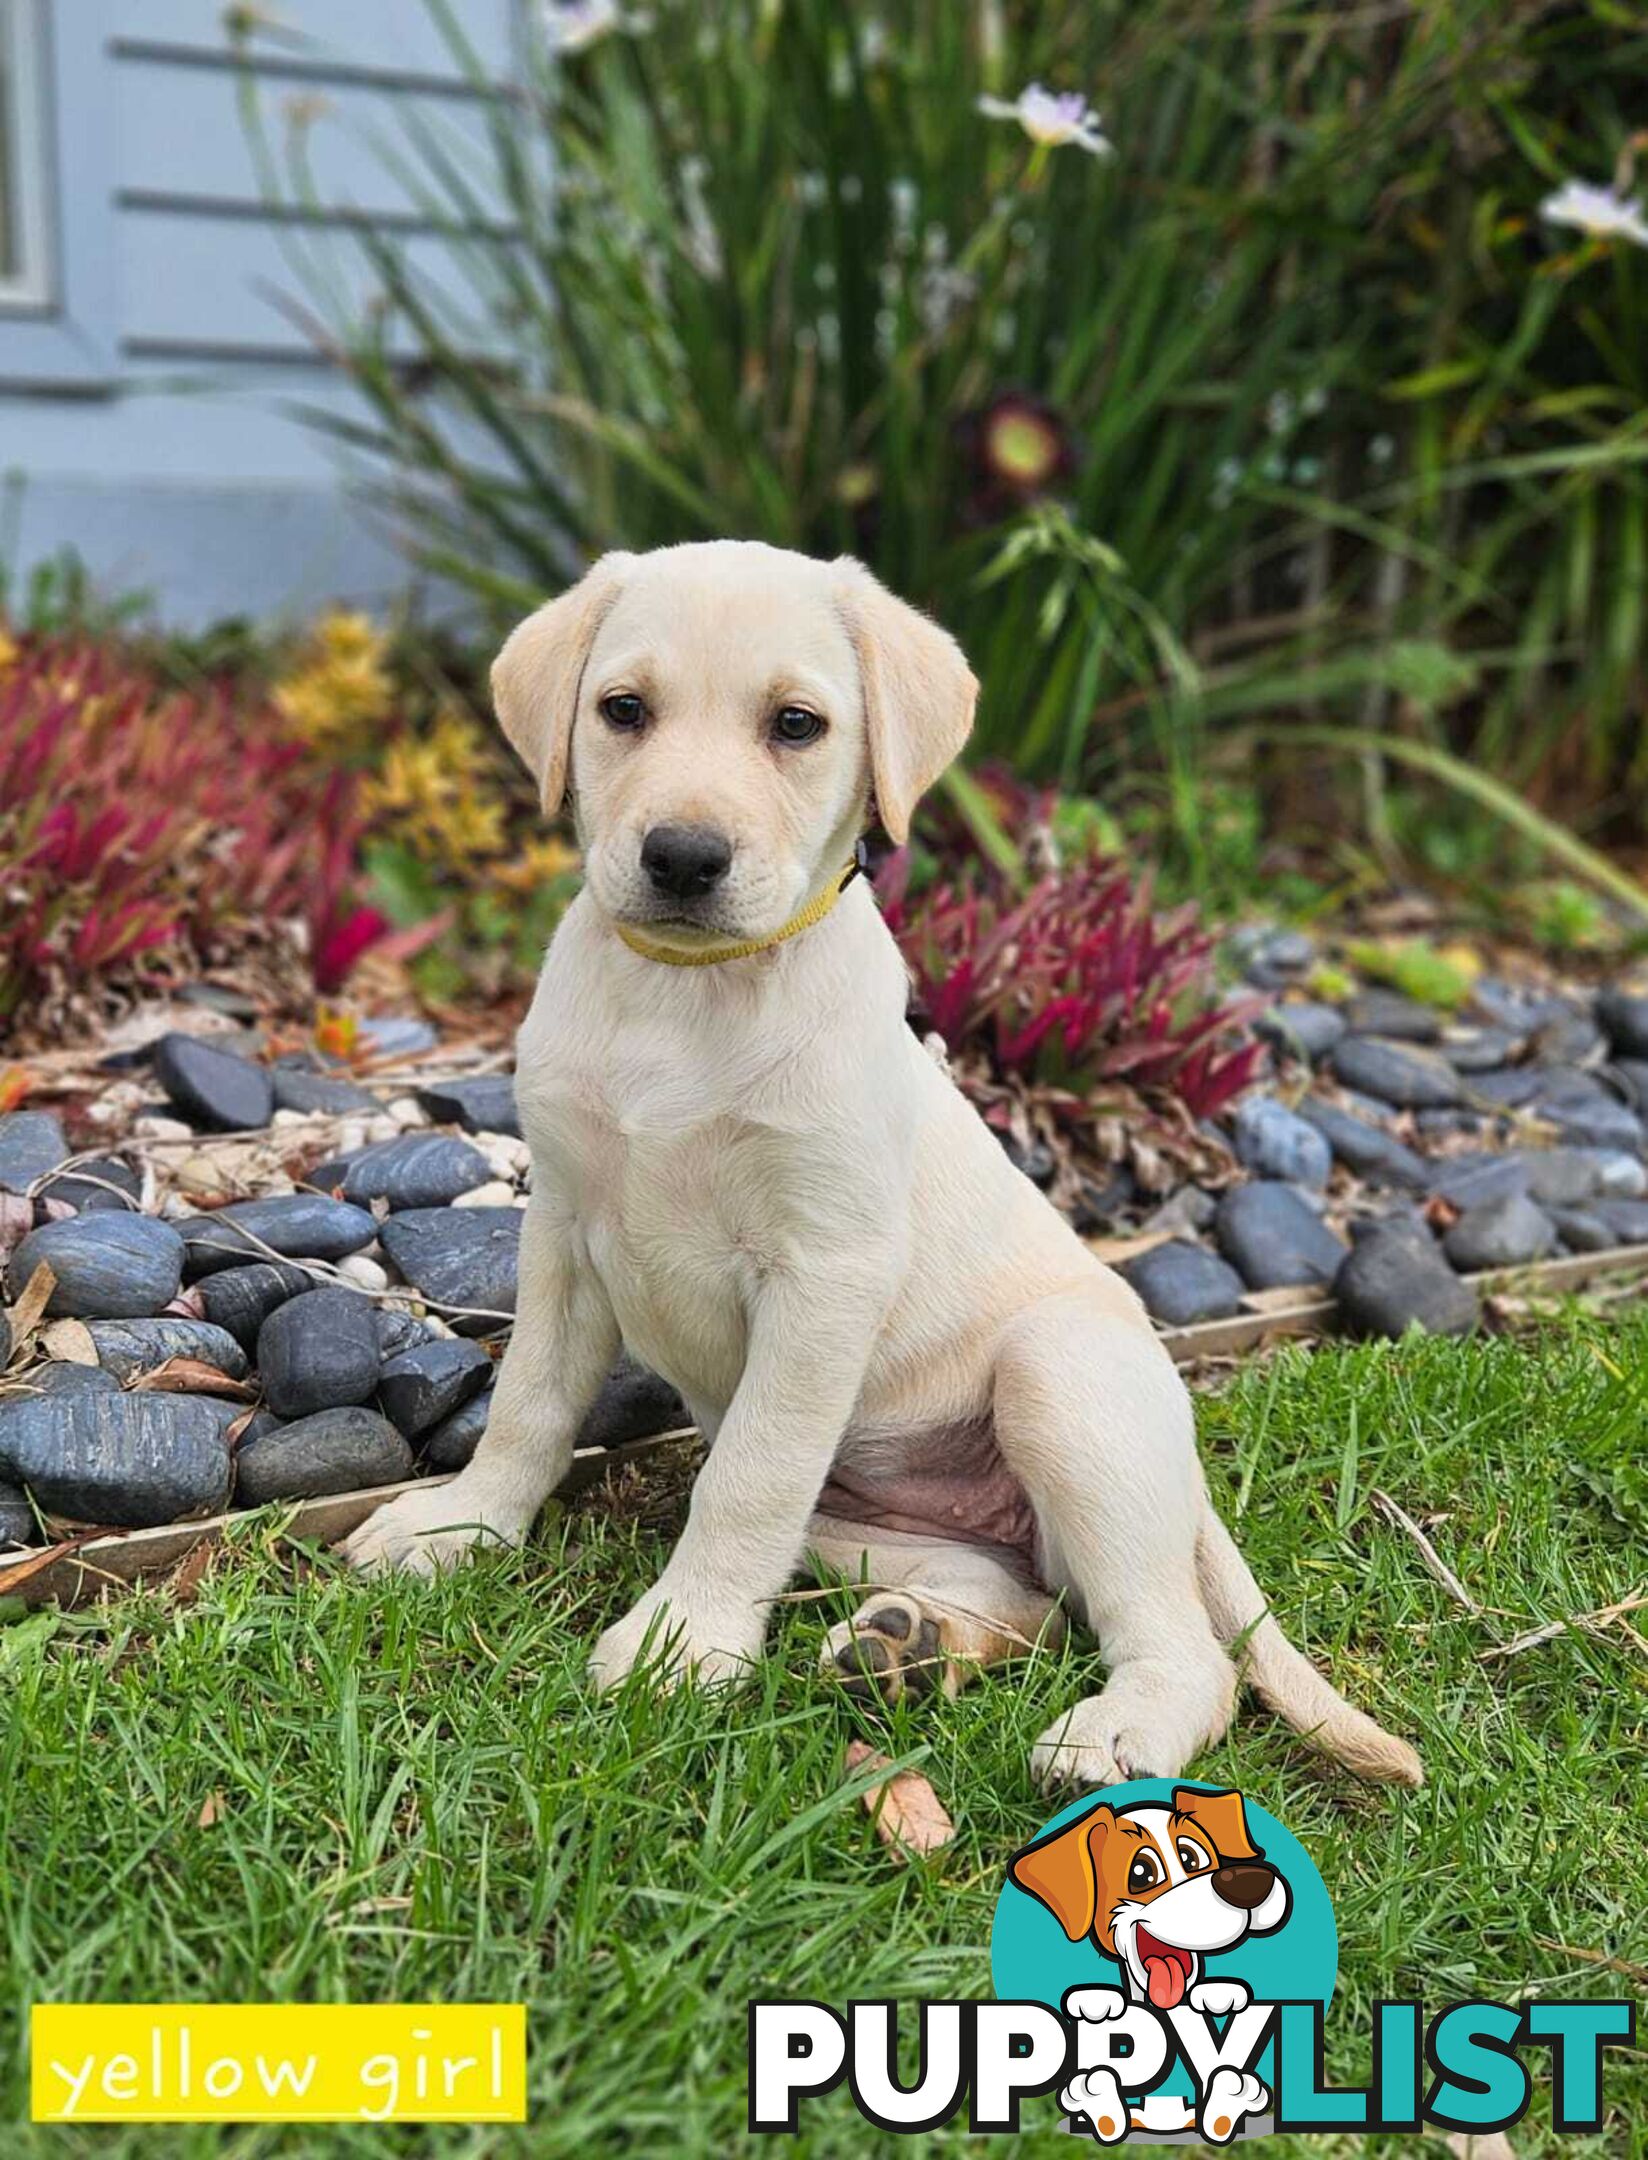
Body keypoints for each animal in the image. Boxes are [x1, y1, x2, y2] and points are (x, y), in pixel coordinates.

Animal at [341, 540, 1425, 1788]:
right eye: (622, 711)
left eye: (795, 724)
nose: (682, 857)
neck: (687, 994)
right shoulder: (564, 1233)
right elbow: (527, 1407)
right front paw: (456, 1526)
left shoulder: (823, 1272)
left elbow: (747, 1480)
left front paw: (682, 1643)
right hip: (862, 1526)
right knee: (1030, 1603)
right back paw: (907, 1647)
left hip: (1060, 1382)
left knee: (1184, 1650)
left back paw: (1115, 1728)